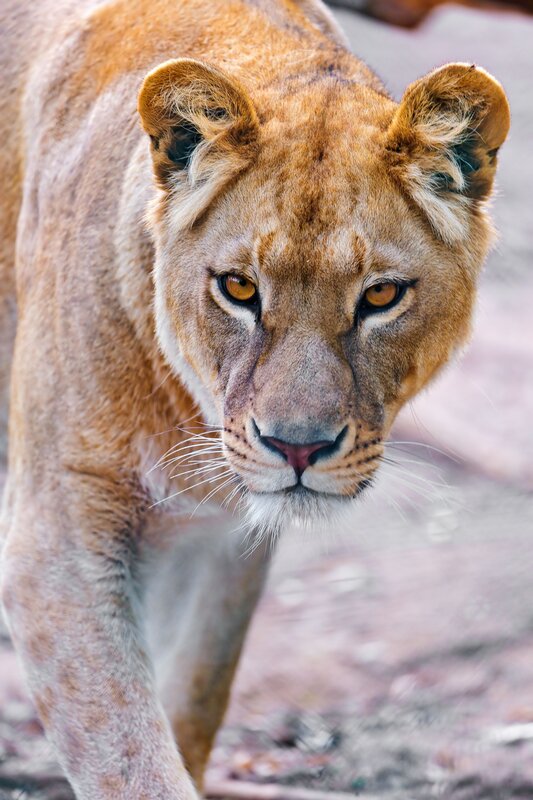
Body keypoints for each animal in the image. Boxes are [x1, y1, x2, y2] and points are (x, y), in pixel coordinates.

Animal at [0, 0, 509, 797]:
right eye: (238, 288)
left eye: (381, 296)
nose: (296, 448)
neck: (187, 410)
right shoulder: (55, 535)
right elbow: (128, 757)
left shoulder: (223, 542)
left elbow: (191, 704)